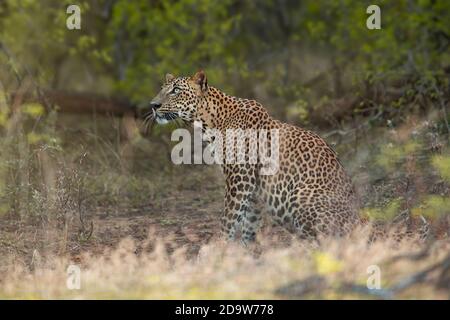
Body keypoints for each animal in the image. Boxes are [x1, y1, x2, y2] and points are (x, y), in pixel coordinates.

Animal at [149, 70, 360, 245]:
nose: (153, 105)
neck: (209, 122)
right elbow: (249, 224)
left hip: (301, 195)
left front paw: (217, 250)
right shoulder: (253, 189)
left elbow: (228, 219)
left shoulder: (240, 178)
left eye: (175, 90)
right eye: (162, 89)